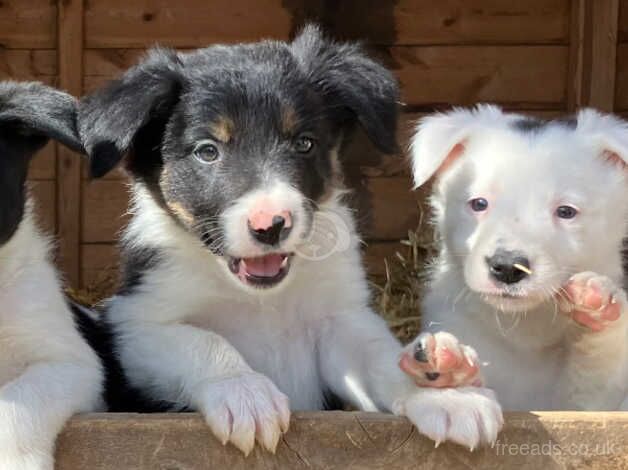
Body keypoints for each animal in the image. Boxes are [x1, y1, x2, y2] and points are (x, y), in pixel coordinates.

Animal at [402, 104, 628, 410]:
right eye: (479, 203)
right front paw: (450, 370)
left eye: (566, 211)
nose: (508, 268)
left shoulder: (587, 403)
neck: (523, 328)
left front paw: (599, 302)